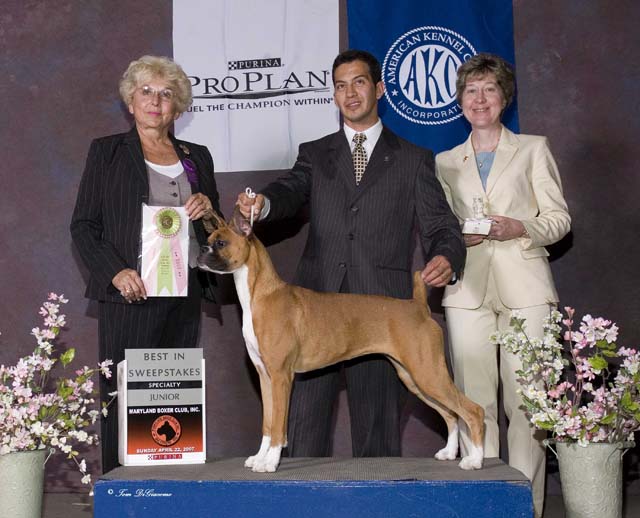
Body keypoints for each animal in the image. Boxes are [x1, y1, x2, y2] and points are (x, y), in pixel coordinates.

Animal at [198, 212, 482, 476]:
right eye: (209, 240)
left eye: (221, 243)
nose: (201, 250)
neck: (261, 294)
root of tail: (419, 306)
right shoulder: (265, 377)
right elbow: (267, 423)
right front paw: (259, 458)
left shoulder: (280, 377)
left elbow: (278, 426)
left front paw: (270, 463)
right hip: (414, 378)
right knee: (451, 414)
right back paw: (449, 453)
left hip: (428, 374)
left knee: (472, 411)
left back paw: (475, 460)